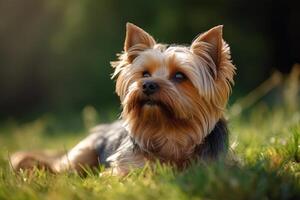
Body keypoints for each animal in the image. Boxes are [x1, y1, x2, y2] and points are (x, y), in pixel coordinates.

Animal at [9, 23, 236, 175]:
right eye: (145, 74)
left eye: (180, 76)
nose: (148, 84)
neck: (169, 133)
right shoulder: (125, 167)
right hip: (83, 153)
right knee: (61, 168)